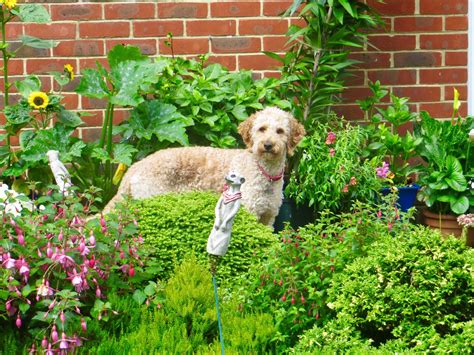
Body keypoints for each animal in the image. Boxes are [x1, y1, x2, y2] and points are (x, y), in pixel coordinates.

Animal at [102, 107, 306, 227]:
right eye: (261, 129)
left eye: (280, 131)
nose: (268, 145)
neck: (263, 170)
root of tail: (135, 166)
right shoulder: (249, 212)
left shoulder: (268, 217)